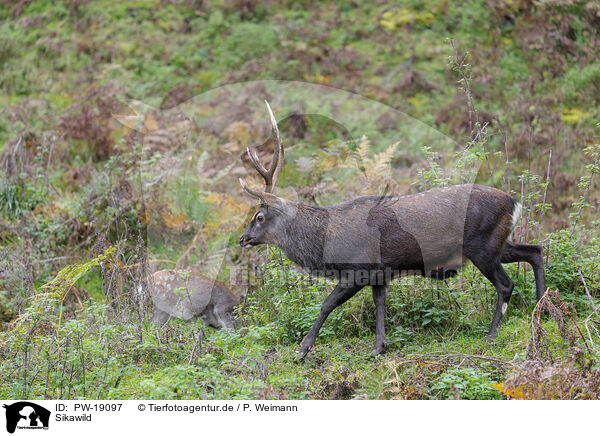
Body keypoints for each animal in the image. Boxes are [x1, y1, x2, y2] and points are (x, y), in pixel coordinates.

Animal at [237, 100, 548, 360]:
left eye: (259, 216)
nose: (242, 239)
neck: (325, 243)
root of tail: (514, 202)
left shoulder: (357, 269)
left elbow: (326, 304)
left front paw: (302, 350)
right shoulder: (380, 273)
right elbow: (380, 304)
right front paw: (378, 346)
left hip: (482, 246)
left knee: (506, 284)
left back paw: (493, 333)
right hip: (500, 242)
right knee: (535, 250)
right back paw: (542, 306)